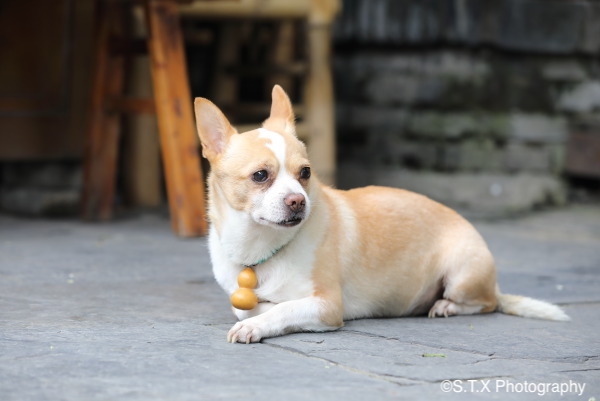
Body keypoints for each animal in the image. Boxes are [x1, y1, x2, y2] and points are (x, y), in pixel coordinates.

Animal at [195, 85, 568, 344]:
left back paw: (446, 305)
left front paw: (255, 324)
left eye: (305, 173)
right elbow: (246, 304)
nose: (298, 201)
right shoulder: (246, 295)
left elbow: (282, 308)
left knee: (486, 303)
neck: (261, 249)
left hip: (463, 273)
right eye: (260, 176)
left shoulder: (327, 305)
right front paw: (255, 312)